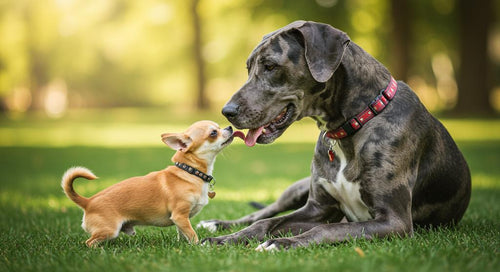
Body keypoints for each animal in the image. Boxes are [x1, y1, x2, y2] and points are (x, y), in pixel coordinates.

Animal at [61, 120, 236, 246]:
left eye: (219, 127)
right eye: (213, 133)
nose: (229, 127)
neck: (190, 172)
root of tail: (88, 202)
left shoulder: (181, 220)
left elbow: (183, 233)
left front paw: (183, 245)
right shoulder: (180, 215)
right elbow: (192, 234)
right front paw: (198, 246)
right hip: (109, 230)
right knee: (89, 242)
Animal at [198, 21, 468, 251]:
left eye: (271, 66)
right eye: (248, 68)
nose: (227, 112)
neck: (353, 123)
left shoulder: (395, 220)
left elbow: (326, 229)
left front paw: (283, 243)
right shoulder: (317, 208)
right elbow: (264, 223)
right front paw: (225, 239)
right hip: (298, 189)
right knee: (264, 212)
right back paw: (216, 225)